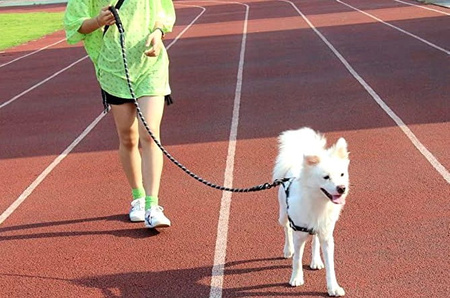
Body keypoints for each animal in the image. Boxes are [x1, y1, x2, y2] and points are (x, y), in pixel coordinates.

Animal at [272, 127, 350, 296]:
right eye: (326, 177)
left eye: (342, 174)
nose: (342, 188)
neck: (318, 202)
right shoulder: (299, 234)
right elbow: (297, 259)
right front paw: (296, 278)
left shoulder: (326, 235)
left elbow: (330, 265)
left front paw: (333, 287)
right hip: (283, 214)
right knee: (286, 229)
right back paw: (288, 250)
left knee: (314, 241)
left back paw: (316, 261)